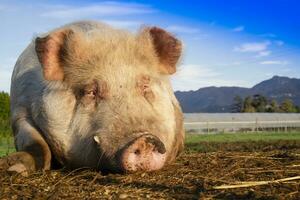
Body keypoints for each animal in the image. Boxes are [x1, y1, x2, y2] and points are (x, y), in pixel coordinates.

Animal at [0, 20, 185, 175]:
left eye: (145, 86)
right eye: (91, 91)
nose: (144, 139)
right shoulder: (20, 111)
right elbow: (38, 145)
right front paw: (14, 170)